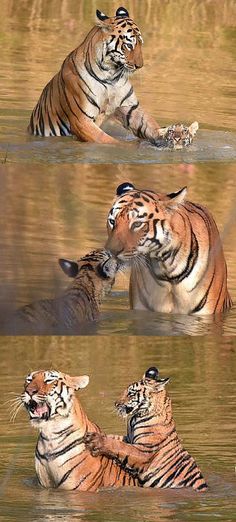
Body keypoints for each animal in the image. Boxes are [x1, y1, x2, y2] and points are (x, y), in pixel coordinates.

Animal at [27, 6, 194, 146]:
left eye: (141, 43)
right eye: (129, 45)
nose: (140, 65)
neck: (110, 75)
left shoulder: (129, 107)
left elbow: (149, 124)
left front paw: (168, 137)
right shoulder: (81, 120)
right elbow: (108, 140)